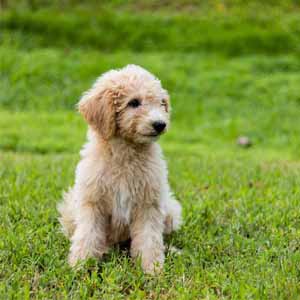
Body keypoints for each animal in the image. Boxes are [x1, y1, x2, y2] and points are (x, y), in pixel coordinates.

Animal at [57, 64, 182, 274]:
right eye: (134, 102)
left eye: (161, 103)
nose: (160, 124)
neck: (125, 154)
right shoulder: (92, 201)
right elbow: (88, 235)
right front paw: (80, 265)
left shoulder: (149, 204)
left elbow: (149, 239)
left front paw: (152, 269)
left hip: (170, 209)